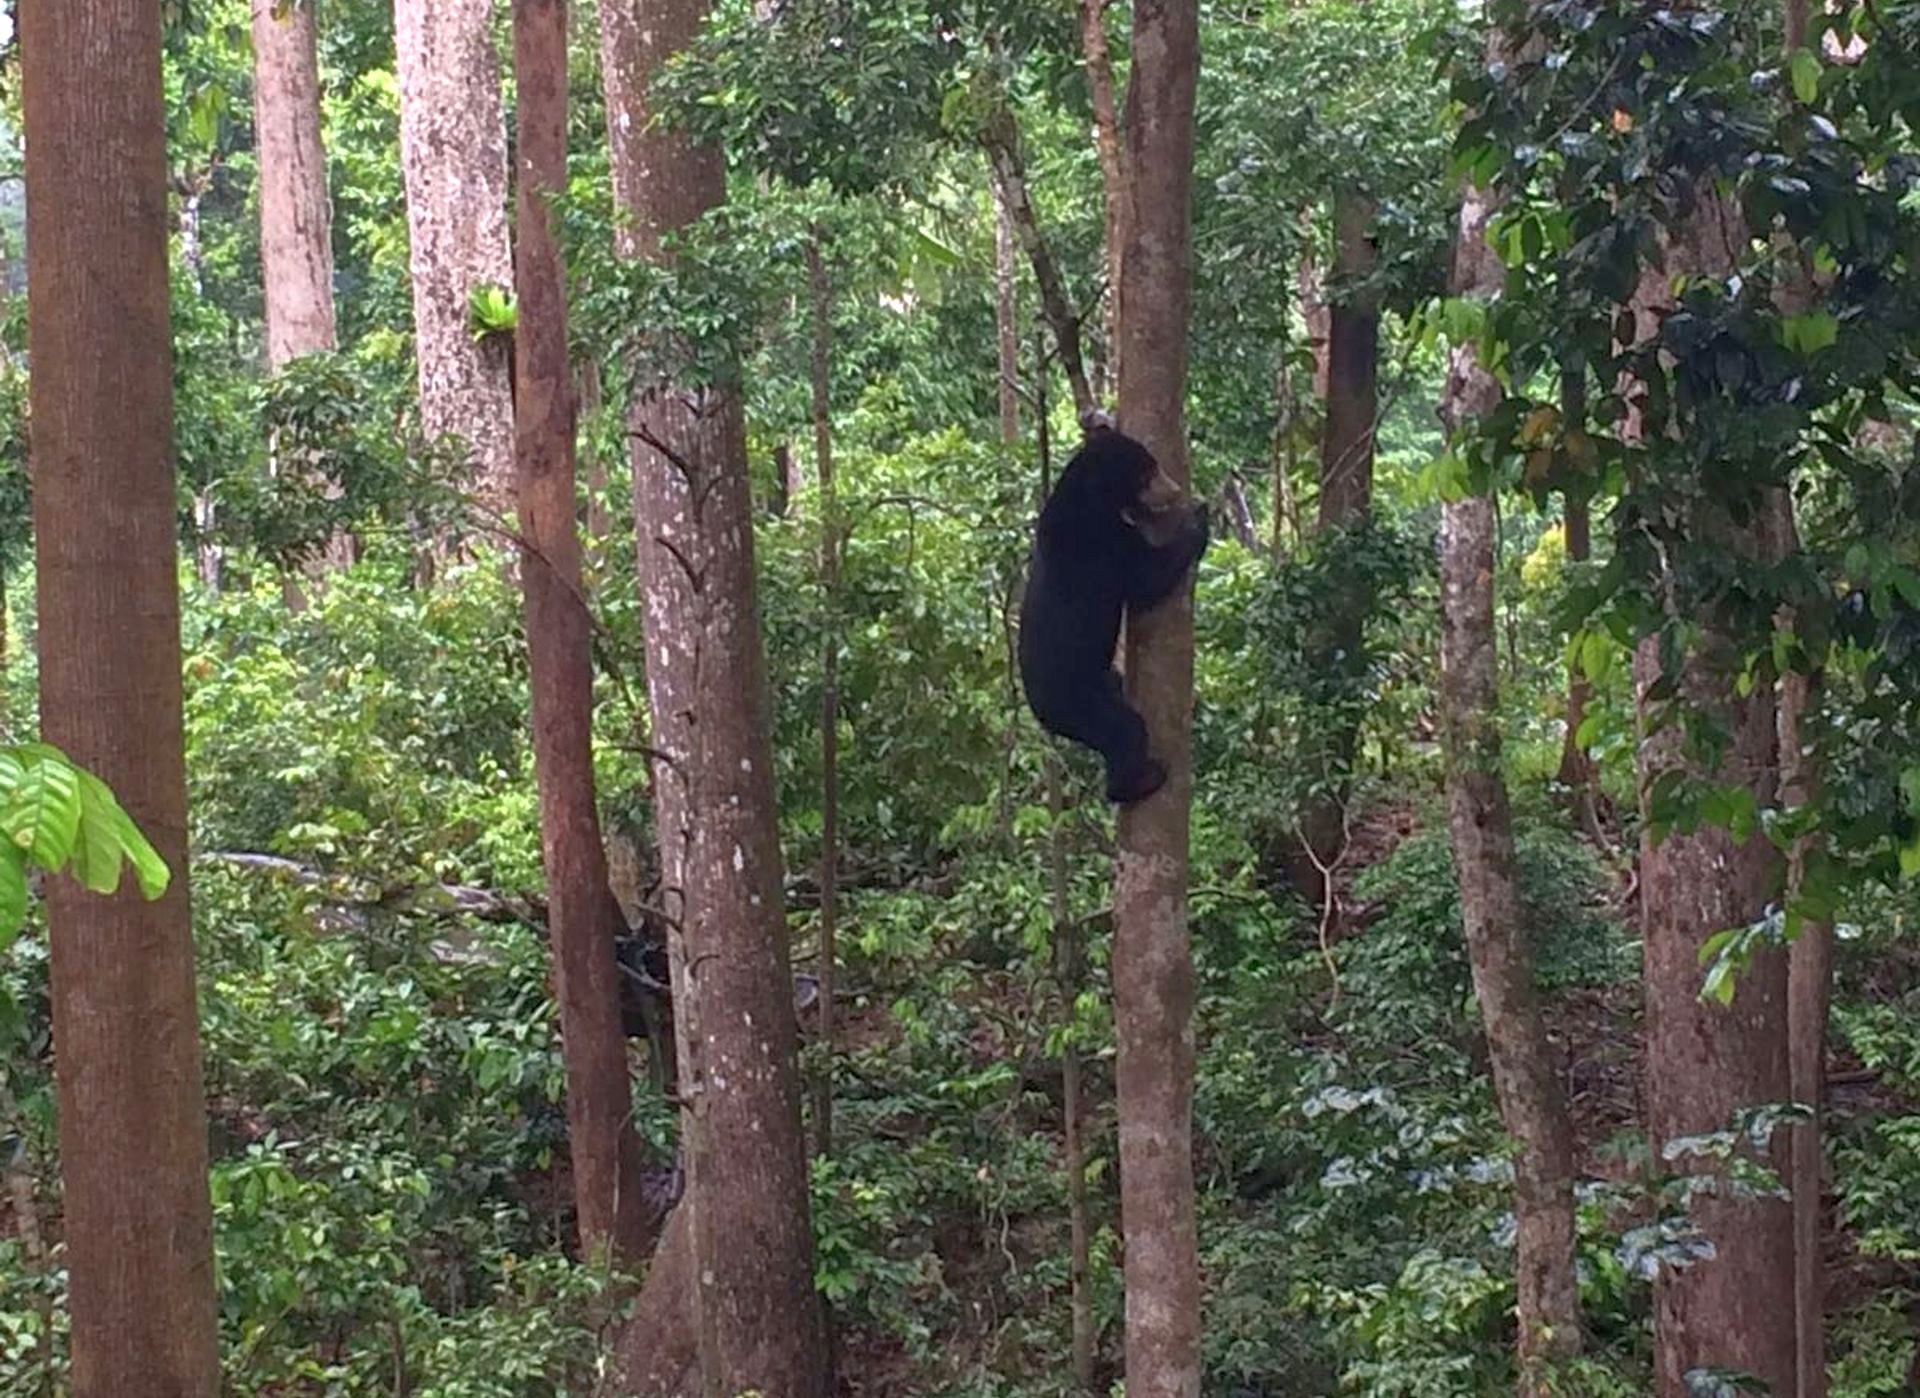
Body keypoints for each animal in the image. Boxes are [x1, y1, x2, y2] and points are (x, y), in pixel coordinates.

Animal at [1018, 419, 1210, 805]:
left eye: (1155, 465)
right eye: (1148, 473)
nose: (1173, 489)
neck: (1089, 497)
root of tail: (1041, 714)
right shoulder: (1102, 544)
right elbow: (1146, 578)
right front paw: (1198, 517)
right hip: (1079, 700)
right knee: (1124, 729)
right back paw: (1142, 779)